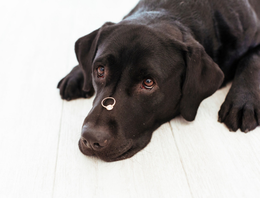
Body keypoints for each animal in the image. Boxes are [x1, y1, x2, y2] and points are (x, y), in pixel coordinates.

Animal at [58, 0, 260, 161]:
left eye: (148, 82)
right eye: (100, 70)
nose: (92, 139)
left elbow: (251, 59)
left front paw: (242, 103)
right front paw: (77, 74)